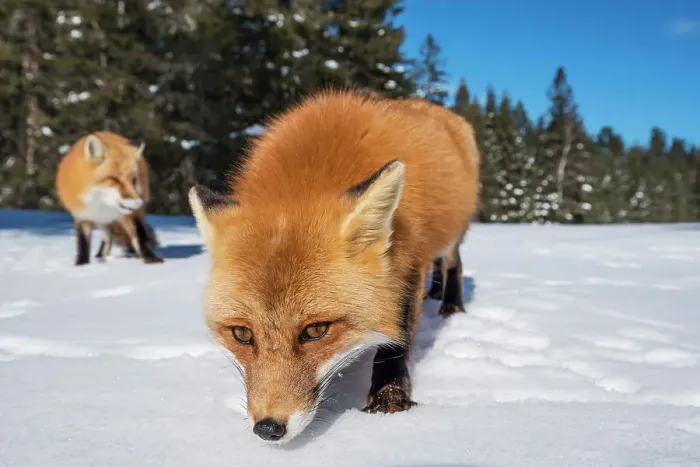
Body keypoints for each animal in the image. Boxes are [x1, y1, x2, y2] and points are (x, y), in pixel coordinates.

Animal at [55, 131, 164, 266]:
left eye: (133, 180)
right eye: (114, 179)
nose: (138, 202)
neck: (102, 205)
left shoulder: (131, 214)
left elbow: (139, 237)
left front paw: (151, 259)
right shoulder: (82, 216)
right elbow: (83, 244)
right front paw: (82, 265)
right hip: (102, 221)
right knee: (108, 237)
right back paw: (100, 257)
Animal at [188, 90, 480, 444]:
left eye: (316, 330)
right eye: (242, 334)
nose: (268, 428)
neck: (307, 176)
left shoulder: (409, 259)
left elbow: (396, 341)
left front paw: (390, 399)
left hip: (450, 238)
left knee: (453, 264)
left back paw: (451, 305)